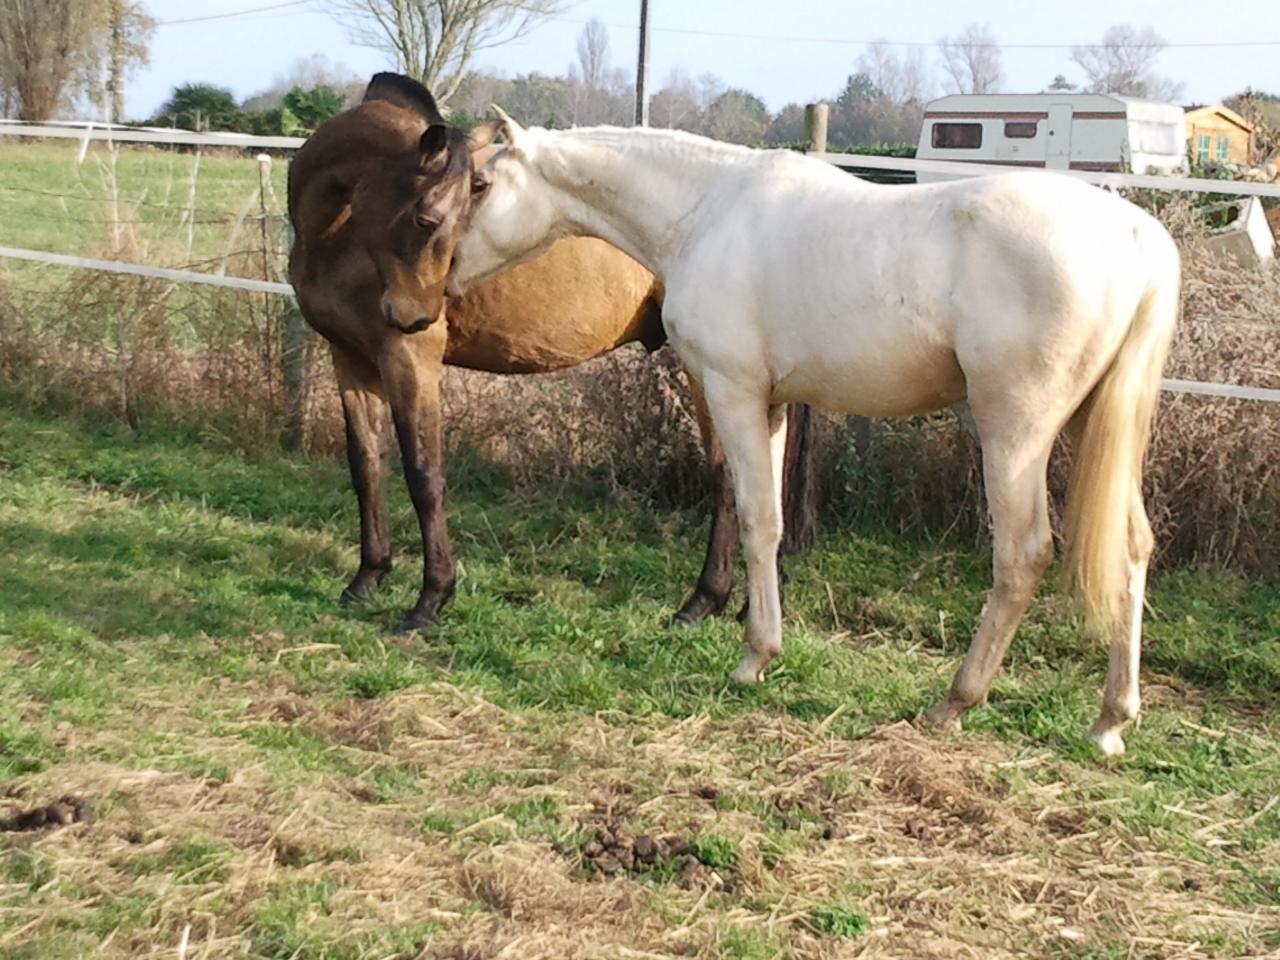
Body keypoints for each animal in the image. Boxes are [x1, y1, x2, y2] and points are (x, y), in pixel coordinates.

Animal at [289, 73, 778, 632]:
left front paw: (431, 598)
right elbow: (366, 466)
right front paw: (367, 577)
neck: (335, 230)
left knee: (729, 476)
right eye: (429, 218)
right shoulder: (348, 357)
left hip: (710, 376)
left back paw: (702, 601)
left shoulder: (408, 361)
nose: (418, 316)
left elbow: (424, 474)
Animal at [450, 114, 1177, 757]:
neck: (705, 212)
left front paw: (753, 659)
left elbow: (756, 520)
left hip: (1015, 428)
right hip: (1091, 423)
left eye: (480, 185)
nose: (445, 272)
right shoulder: (771, 405)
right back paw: (1111, 719)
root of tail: (1140, 241)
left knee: (1022, 555)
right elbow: (767, 525)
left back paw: (954, 701)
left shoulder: (734, 393)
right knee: (1133, 547)